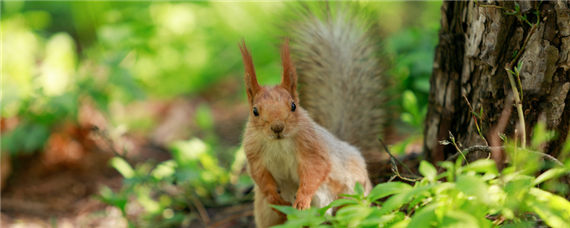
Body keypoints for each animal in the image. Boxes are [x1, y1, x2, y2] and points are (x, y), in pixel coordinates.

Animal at [237, 4, 384, 228]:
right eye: (255, 111)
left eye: (293, 106)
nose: (277, 127)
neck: (278, 143)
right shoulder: (253, 152)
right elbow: (260, 176)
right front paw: (274, 197)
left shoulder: (311, 147)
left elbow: (315, 170)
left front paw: (302, 199)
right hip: (265, 213)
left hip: (343, 192)